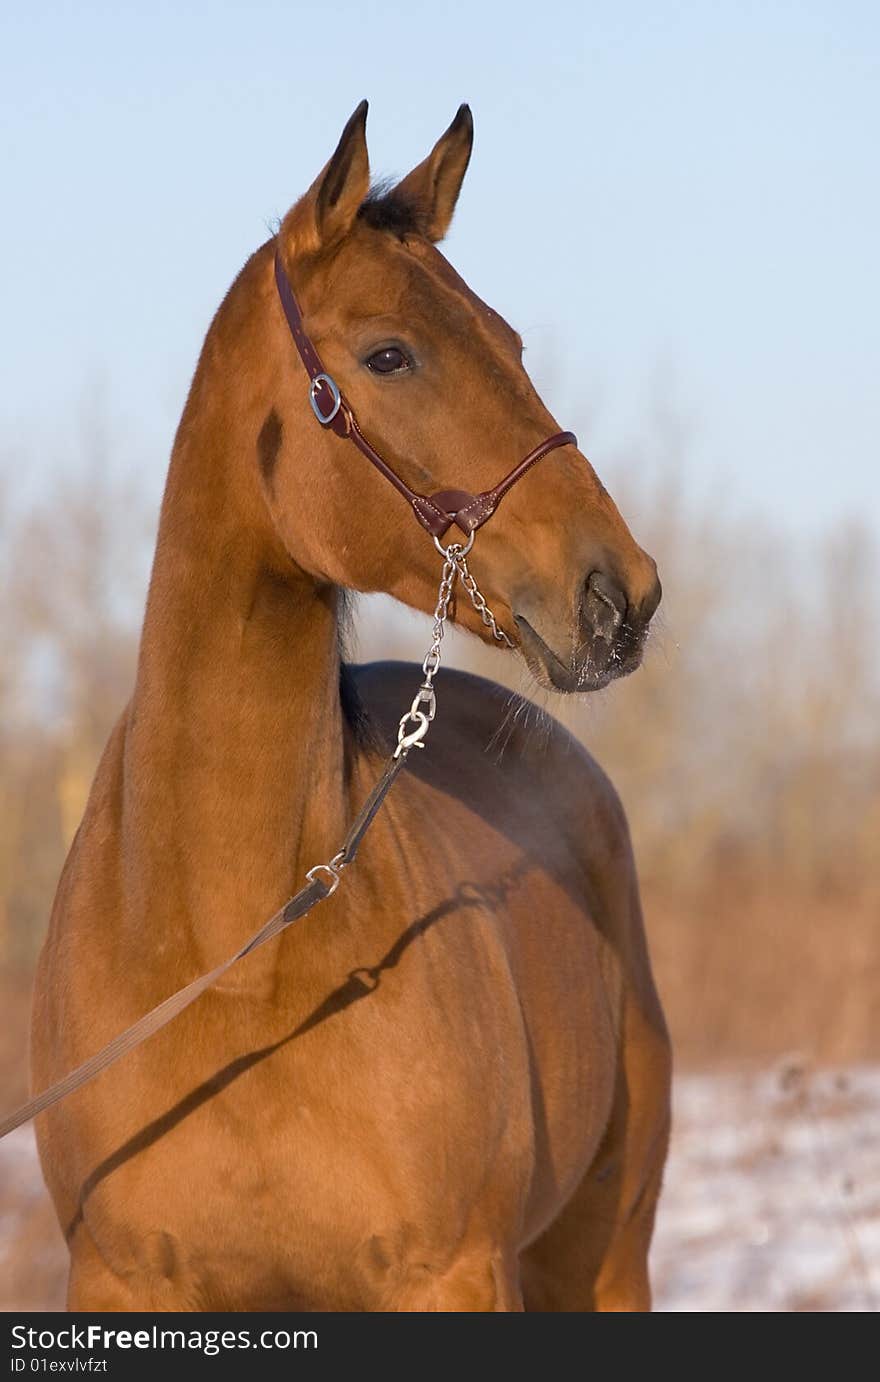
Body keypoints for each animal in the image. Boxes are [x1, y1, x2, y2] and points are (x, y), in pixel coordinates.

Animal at [30, 102, 668, 1310]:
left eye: (511, 343)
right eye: (388, 354)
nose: (621, 594)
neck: (242, 963)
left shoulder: (451, 1277)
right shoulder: (123, 1285)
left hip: (605, 1256)